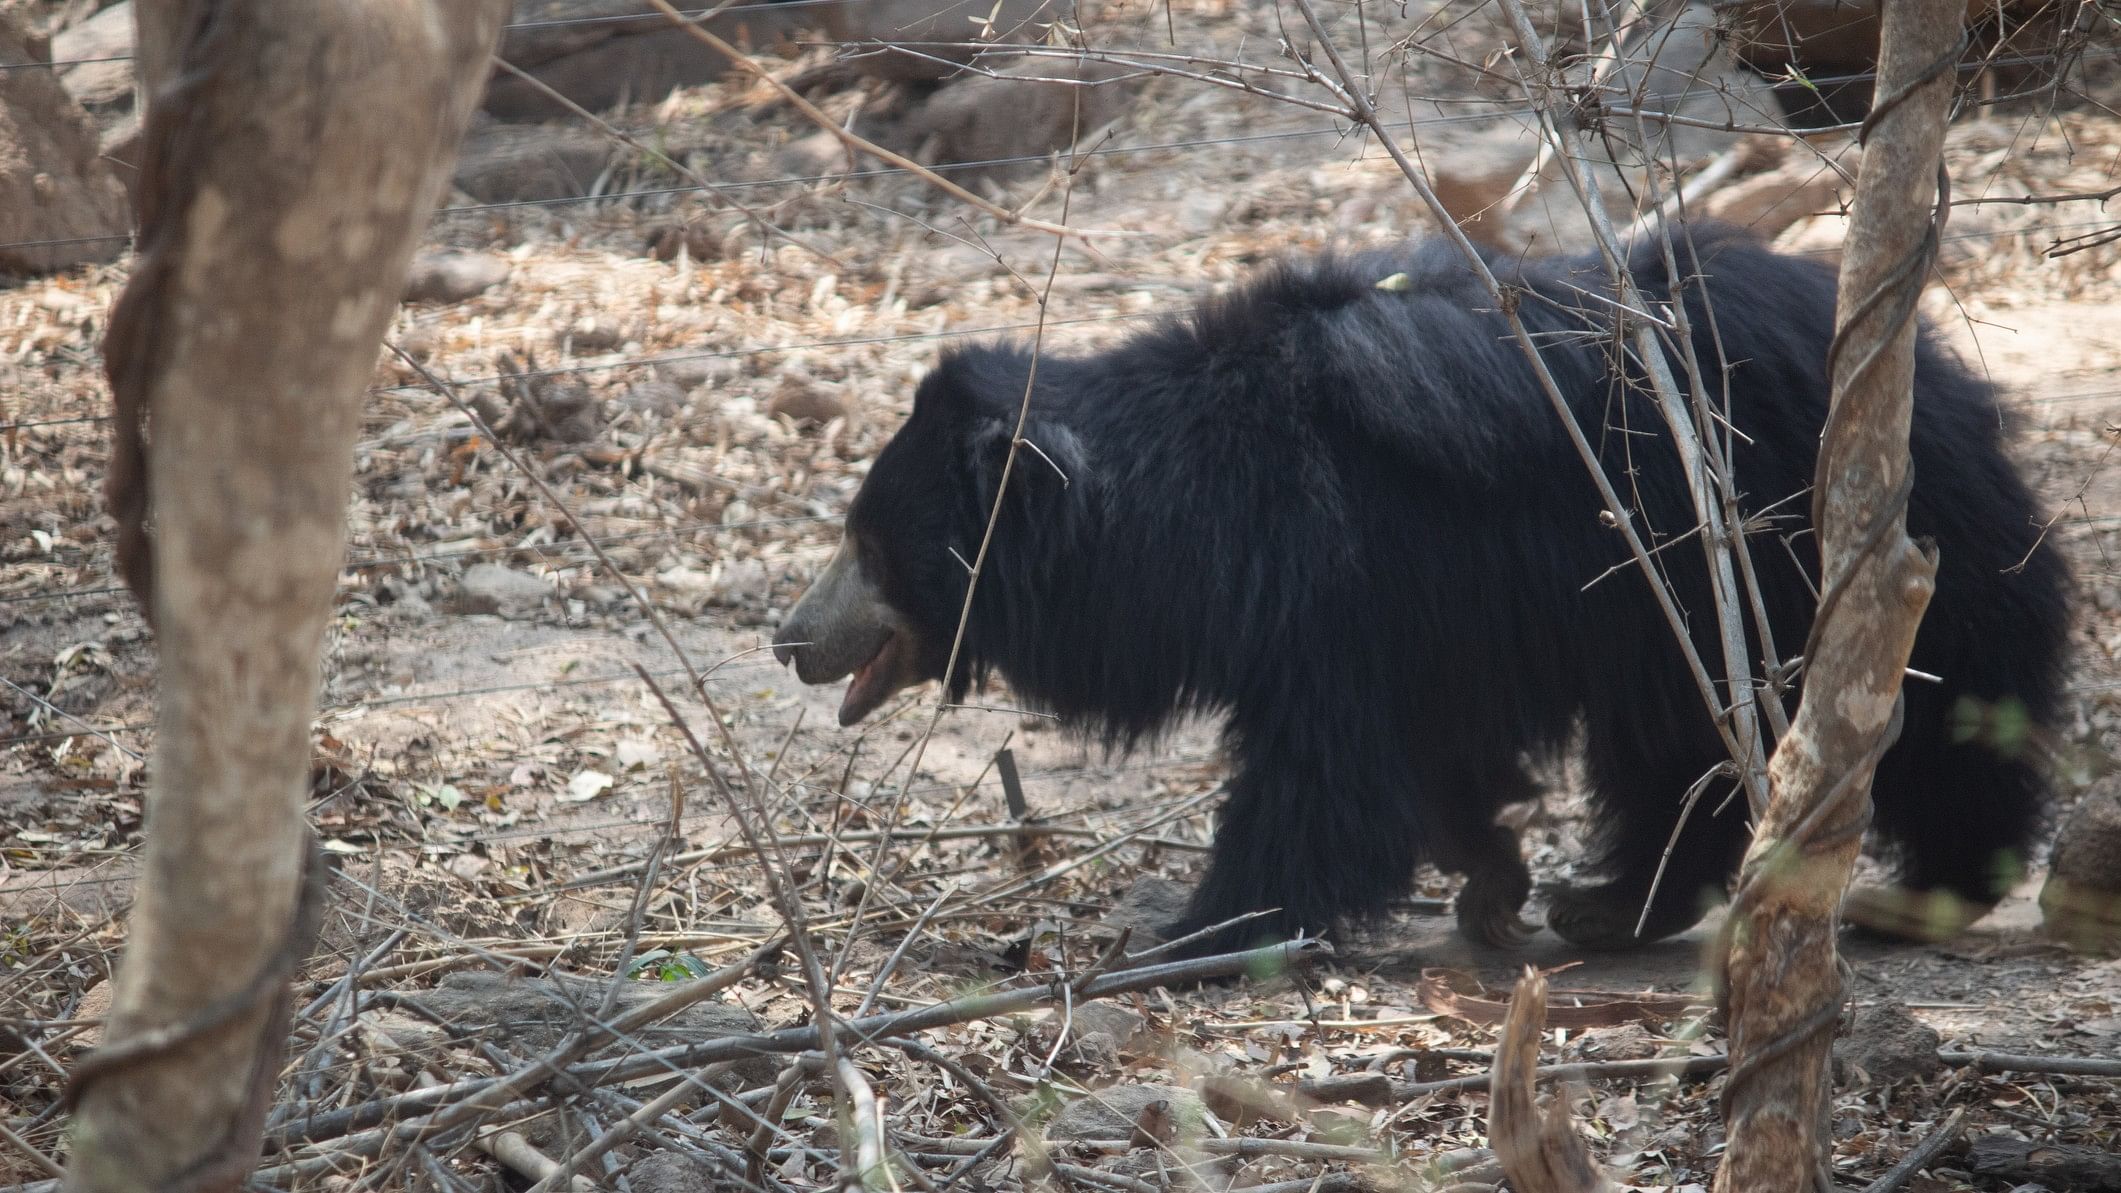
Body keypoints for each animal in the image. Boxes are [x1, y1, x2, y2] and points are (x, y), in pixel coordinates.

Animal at [767, 220, 2070, 946]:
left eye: (871, 548)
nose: (788, 636)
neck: (1204, 510)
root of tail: (1938, 368)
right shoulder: (1410, 624)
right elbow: (1430, 755)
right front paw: (1493, 880)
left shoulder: (1341, 587)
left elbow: (1320, 779)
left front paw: (1188, 931)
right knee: (1685, 751)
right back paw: (1616, 902)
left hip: (1812, 554)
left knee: (1937, 710)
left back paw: (1928, 889)